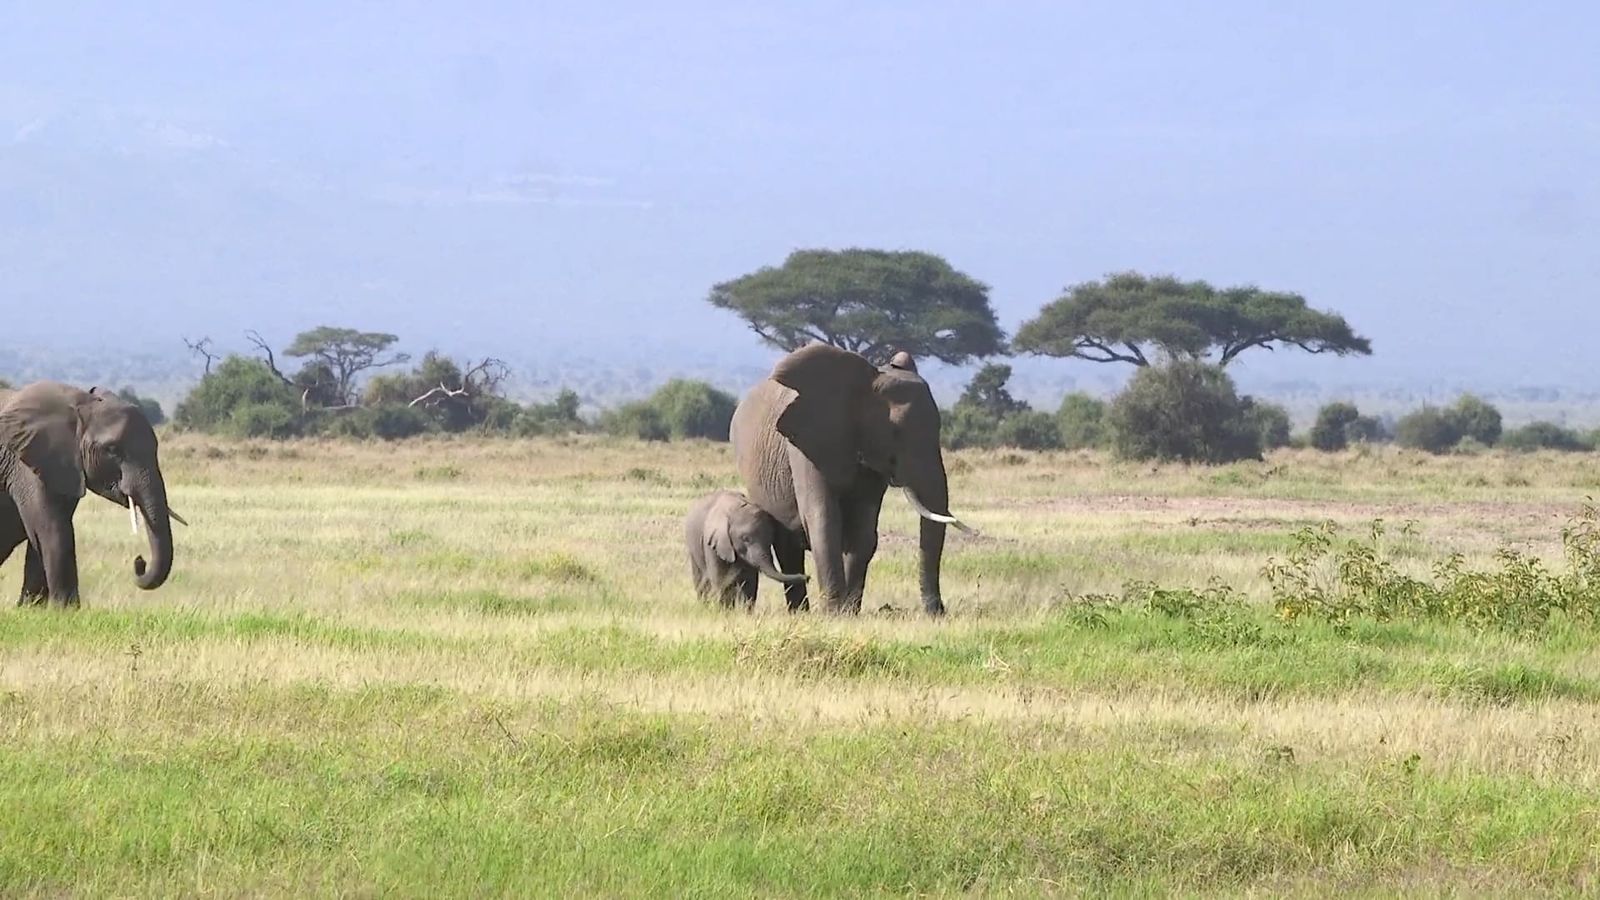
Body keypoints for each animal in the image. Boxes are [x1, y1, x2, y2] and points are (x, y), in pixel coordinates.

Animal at [0, 381, 178, 607]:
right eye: (112, 450)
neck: (80, 404)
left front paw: (32, 609)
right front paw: (65, 609)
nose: (139, 561)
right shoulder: (26, 463)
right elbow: (51, 528)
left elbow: (42, 532)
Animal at [730, 344, 972, 616]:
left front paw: (849, 612)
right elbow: (823, 518)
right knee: (787, 547)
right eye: (895, 432)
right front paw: (834, 613)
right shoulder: (806, 444)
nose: (938, 611)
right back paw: (800, 612)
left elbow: (863, 529)